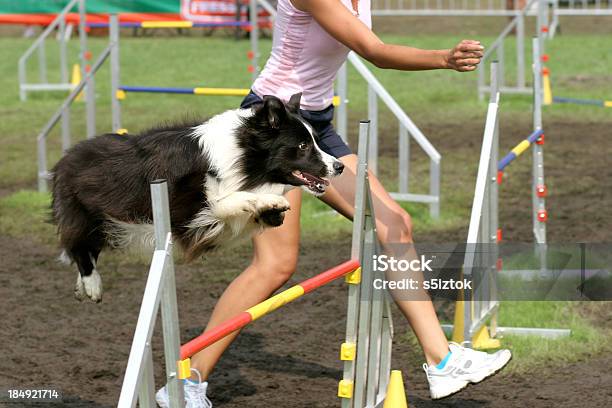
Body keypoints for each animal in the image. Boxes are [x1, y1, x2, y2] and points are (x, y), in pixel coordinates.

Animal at [52, 93, 344, 302]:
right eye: (303, 146)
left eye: (316, 140)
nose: (339, 166)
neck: (243, 153)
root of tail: (65, 158)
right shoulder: (190, 211)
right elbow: (227, 200)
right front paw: (272, 201)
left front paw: (271, 208)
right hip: (86, 212)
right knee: (78, 244)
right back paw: (92, 285)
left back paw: (81, 285)